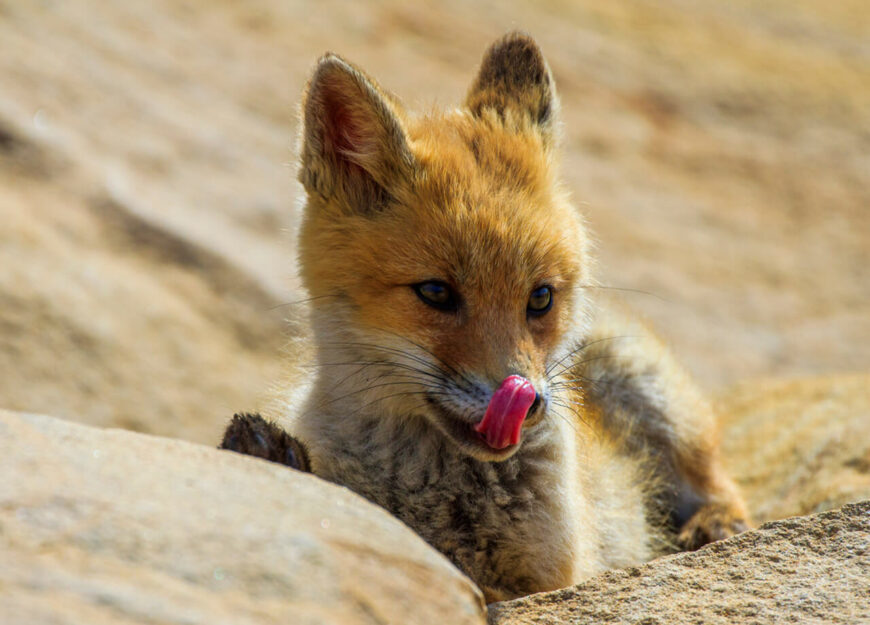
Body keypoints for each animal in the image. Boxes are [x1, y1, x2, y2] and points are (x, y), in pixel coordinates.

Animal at [221, 33, 752, 600]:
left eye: (540, 298)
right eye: (436, 292)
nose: (528, 400)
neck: (434, 489)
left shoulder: (543, 579)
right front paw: (266, 453)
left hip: (650, 390)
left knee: (716, 478)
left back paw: (717, 522)